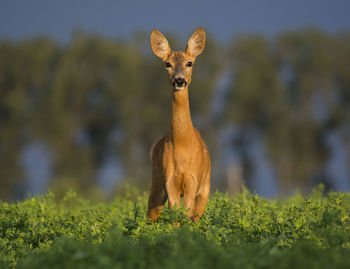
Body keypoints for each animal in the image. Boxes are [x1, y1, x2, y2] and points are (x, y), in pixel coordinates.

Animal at [147, 27, 211, 221]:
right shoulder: (169, 182)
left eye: (190, 63)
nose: (180, 80)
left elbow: (186, 216)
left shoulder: (193, 182)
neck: (183, 144)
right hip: (155, 183)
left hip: (205, 188)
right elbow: (175, 217)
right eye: (167, 64)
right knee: (149, 215)